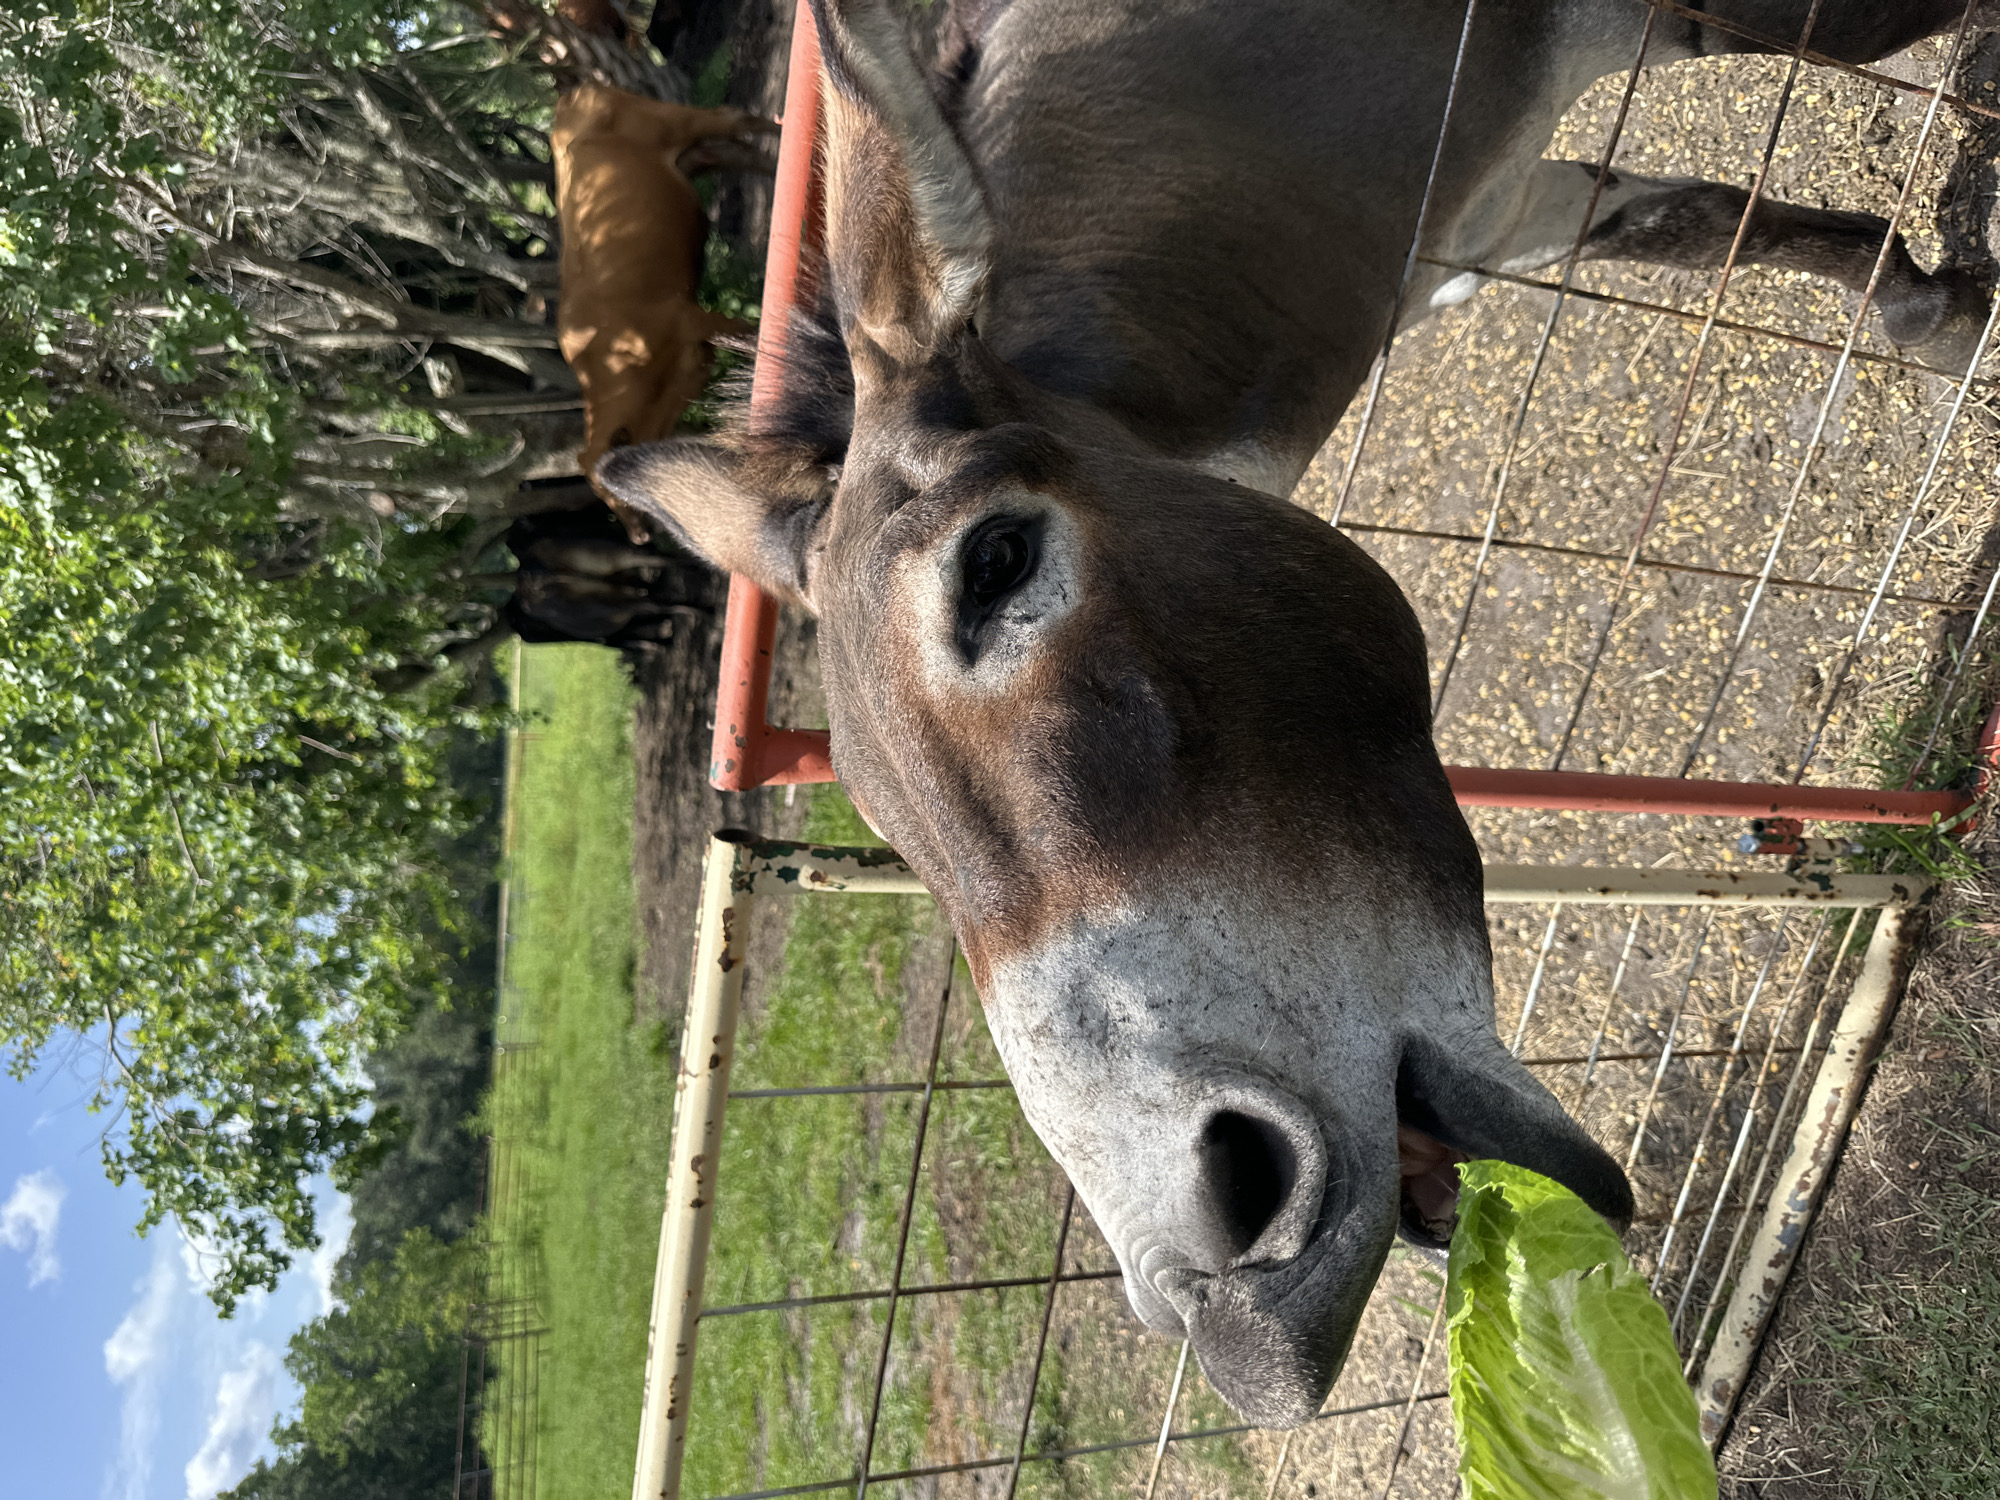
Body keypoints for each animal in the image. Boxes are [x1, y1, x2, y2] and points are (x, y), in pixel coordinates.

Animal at [599, 0, 1989, 1426]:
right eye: (872, 815)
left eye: (994, 561)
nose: (1223, 1301)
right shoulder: (1488, 211)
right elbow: (1709, 220)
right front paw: (1933, 303)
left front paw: (1941, 298)